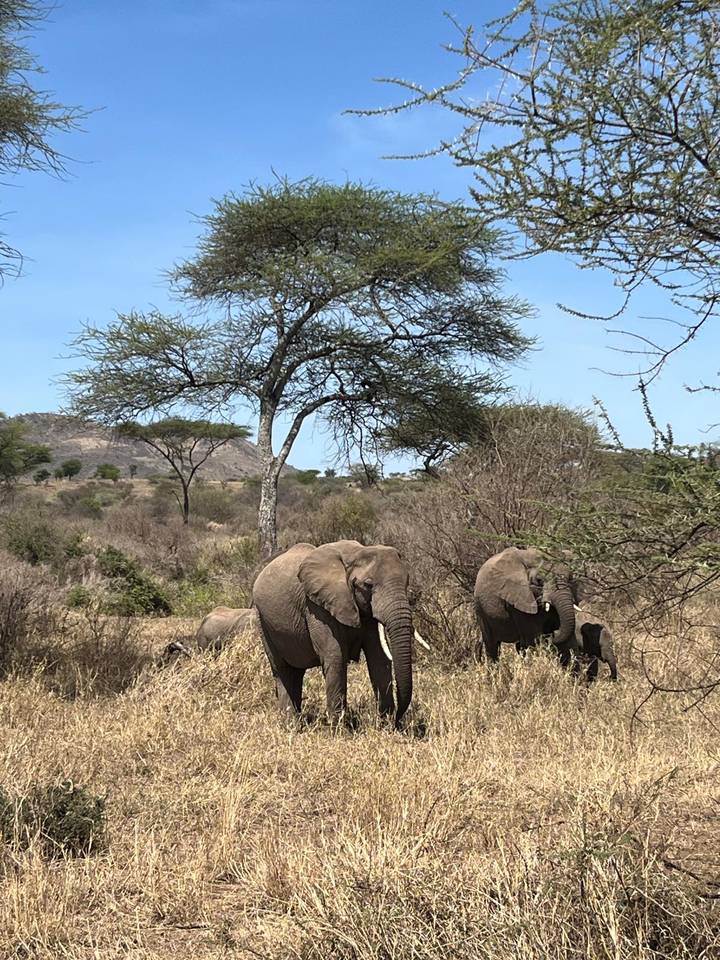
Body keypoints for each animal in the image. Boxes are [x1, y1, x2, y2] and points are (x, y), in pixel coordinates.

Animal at [252, 540, 420, 726]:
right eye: (368, 585)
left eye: (407, 581)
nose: (398, 719)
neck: (356, 553)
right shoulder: (316, 606)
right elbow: (335, 656)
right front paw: (339, 728)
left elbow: (378, 658)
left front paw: (386, 725)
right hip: (262, 620)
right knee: (282, 670)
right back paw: (292, 725)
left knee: (296, 672)